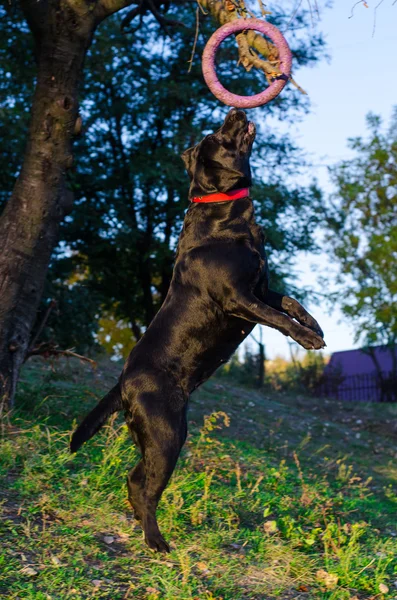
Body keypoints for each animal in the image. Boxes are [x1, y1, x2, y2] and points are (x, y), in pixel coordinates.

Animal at [71, 109, 324, 552]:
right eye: (219, 137)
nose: (235, 111)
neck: (225, 216)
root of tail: (123, 383)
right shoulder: (240, 299)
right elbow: (278, 319)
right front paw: (308, 339)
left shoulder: (262, 287)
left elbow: (292, 303)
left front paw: (315, 326)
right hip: (167, 435)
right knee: (143, 486)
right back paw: (156, 541)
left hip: (166, 434)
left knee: (135, 481)